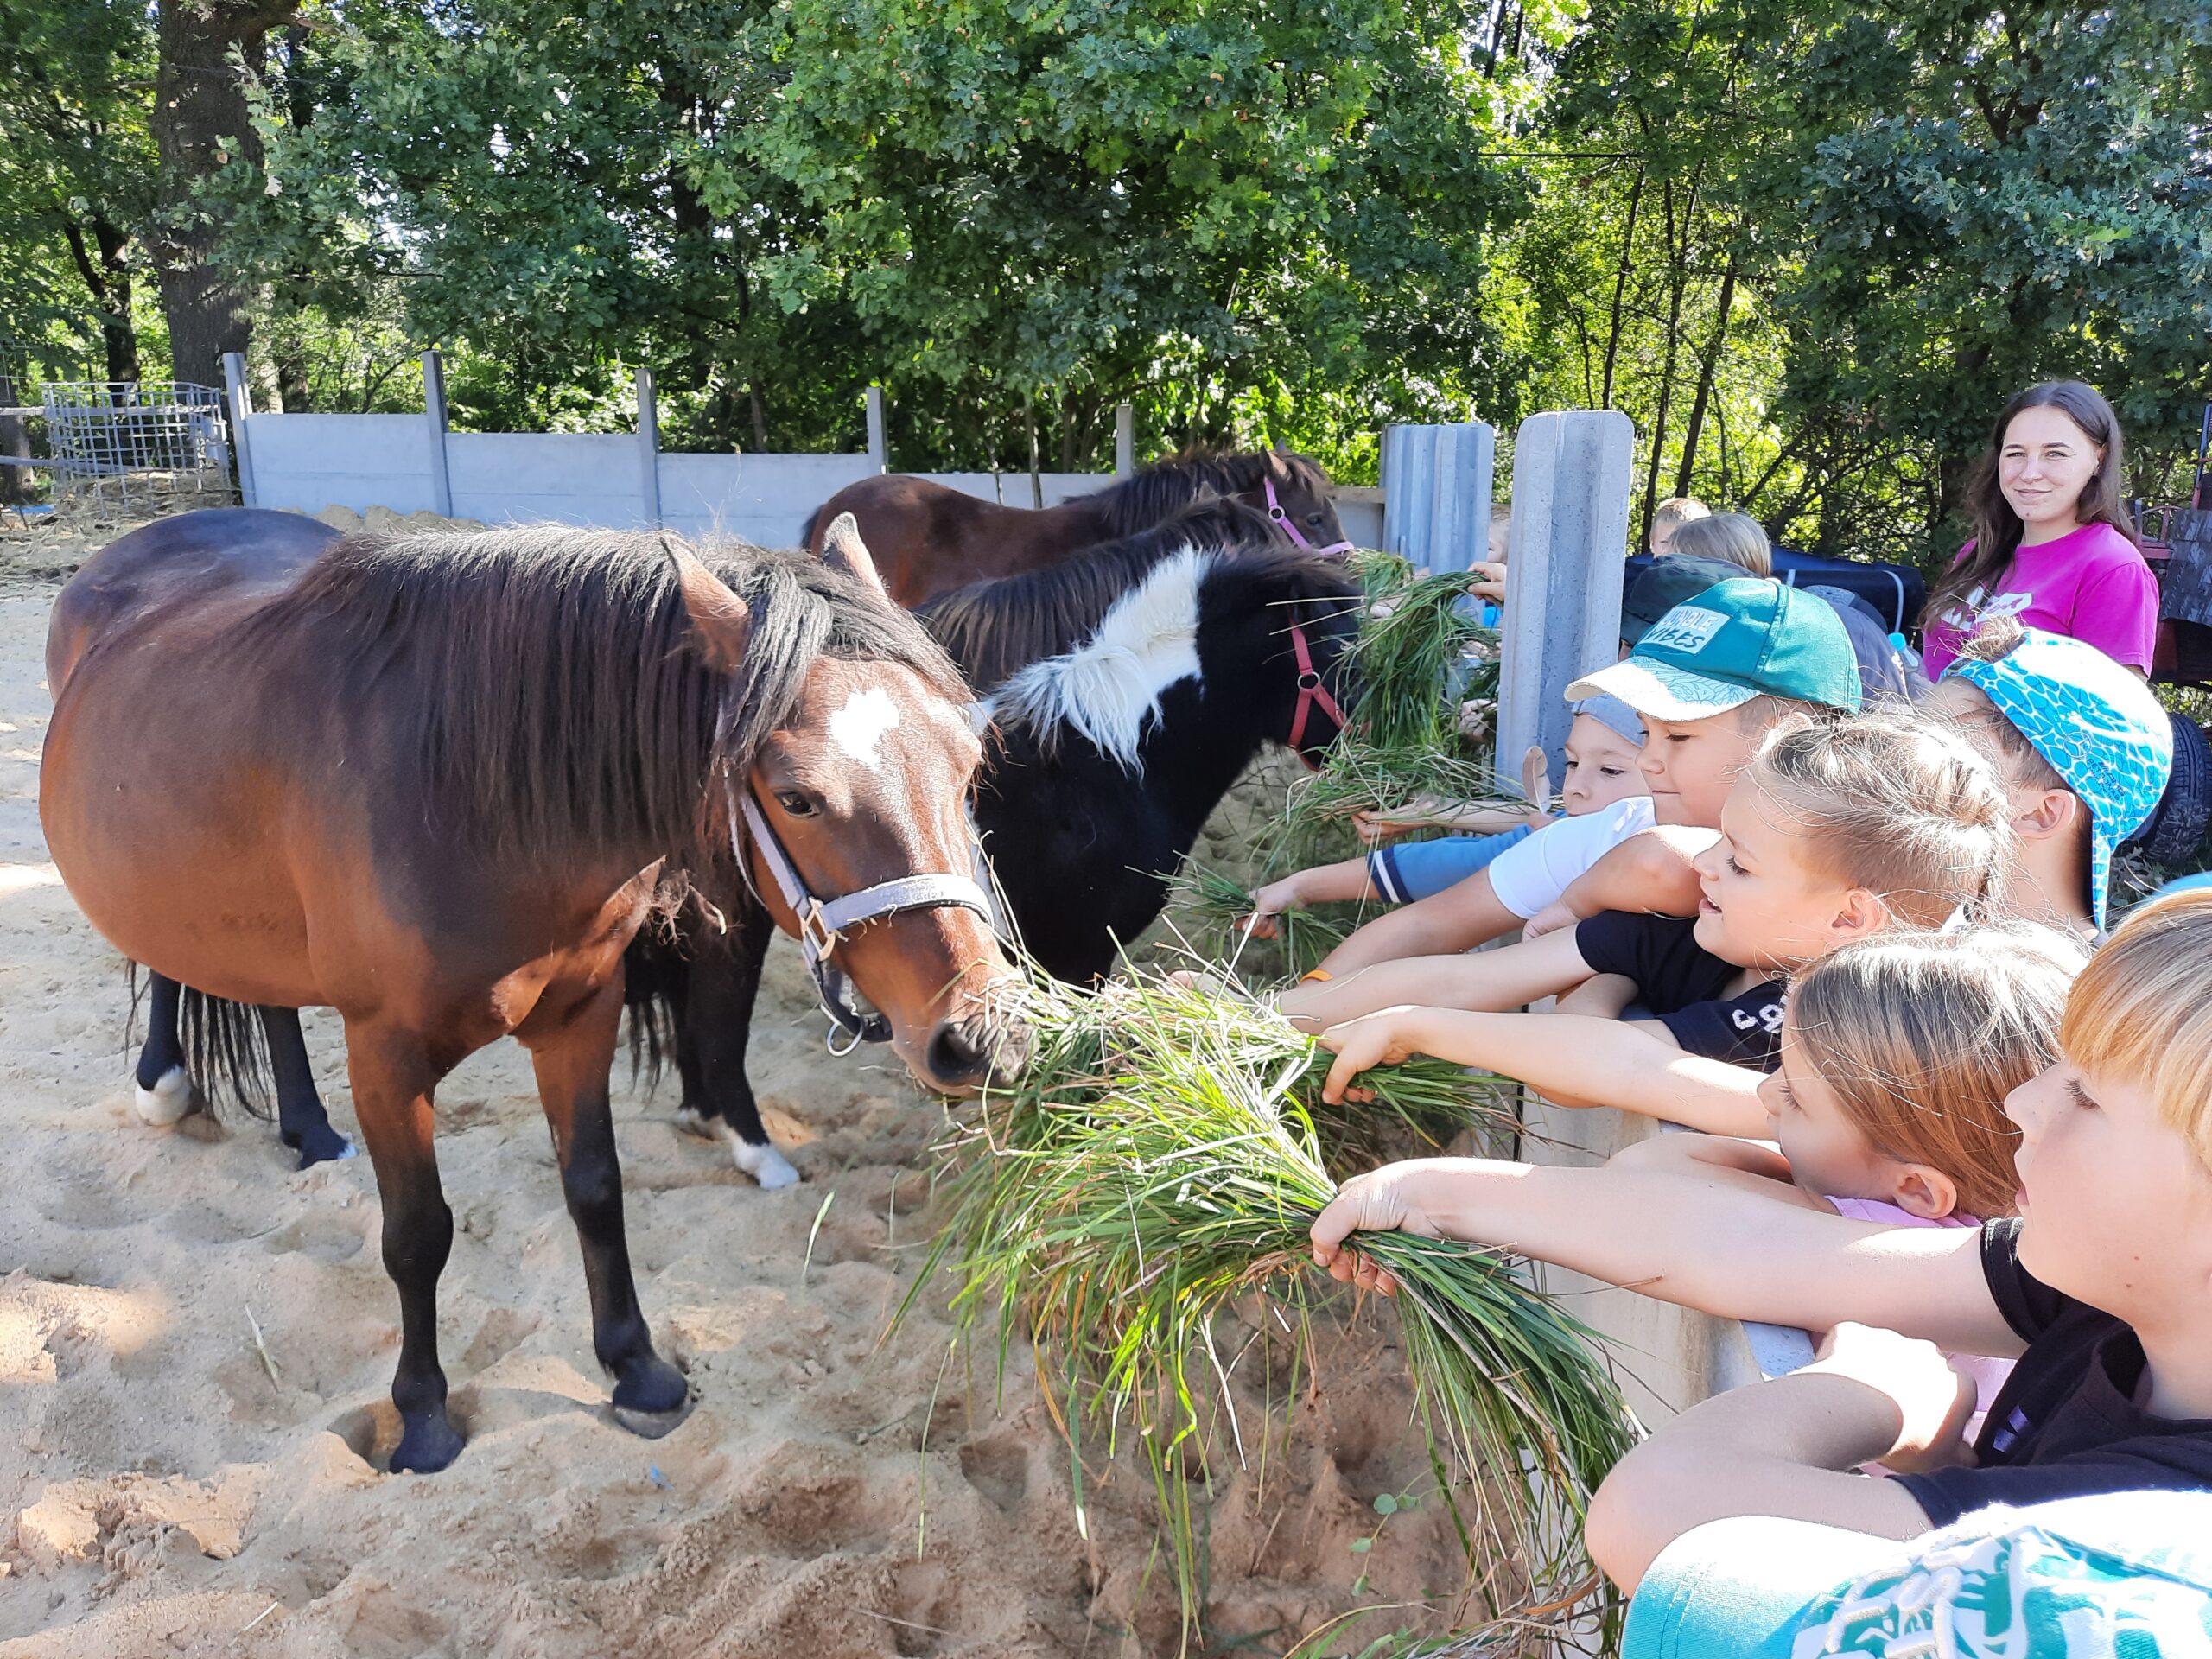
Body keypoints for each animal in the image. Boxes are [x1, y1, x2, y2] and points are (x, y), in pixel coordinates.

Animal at [41, 506, 1027, 1472]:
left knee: (267, 998)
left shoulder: (580, 1016)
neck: (462, 795)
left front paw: (637, 1371)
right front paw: (423, 1419)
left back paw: (310, 1132)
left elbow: (595, 1187)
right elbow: (416, 1234)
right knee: (169, 961)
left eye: (968, 761)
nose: (982, 1036)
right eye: (796, 797)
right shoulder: (385, 1054)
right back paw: (165, 1083)